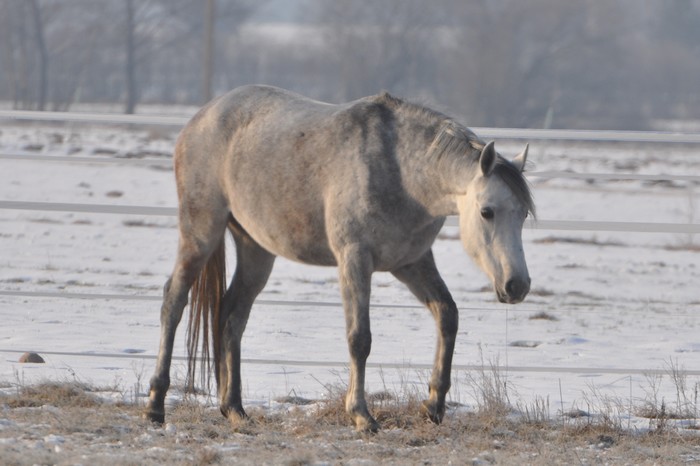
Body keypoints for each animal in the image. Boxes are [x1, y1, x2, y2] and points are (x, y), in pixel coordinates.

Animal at [145, 84, 532, 434]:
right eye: (487, 212)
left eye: (524, 213)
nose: (518, 285)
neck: (401, 170)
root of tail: (200, 119)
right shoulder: (355, 259)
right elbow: (360, 338)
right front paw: (362, 416)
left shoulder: (412, 262)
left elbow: (447, 315)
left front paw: (433, 405)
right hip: (200, 234)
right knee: (173, 301)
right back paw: (155, 406)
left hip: (255, 249)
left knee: (232, 315)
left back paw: (235, 410)